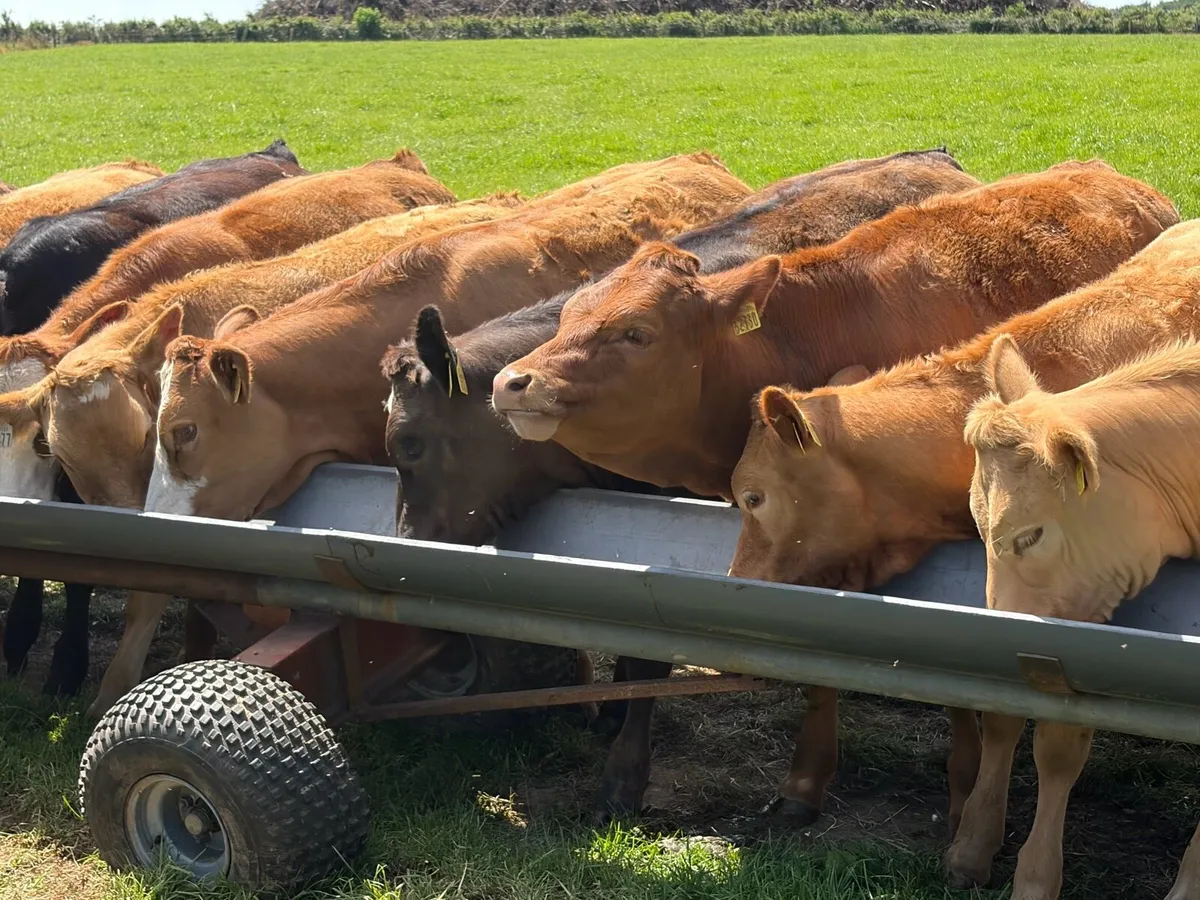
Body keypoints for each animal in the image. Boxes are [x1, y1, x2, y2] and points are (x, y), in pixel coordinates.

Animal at [490, 160, 1179, 832]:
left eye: (637, 332)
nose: (511, 381)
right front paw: (803, 785)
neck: (796, 338)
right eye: (567, 315)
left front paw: (960, 794)